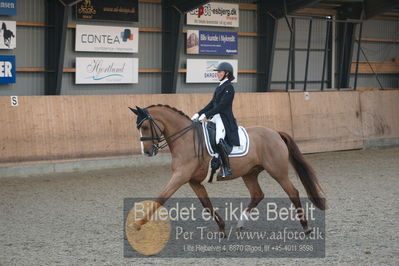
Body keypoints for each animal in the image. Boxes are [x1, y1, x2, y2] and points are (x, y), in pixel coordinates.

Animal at [130, 105, 326, 234]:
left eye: (145, 127)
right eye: (138, 128)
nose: (147, 152)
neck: (185, 138)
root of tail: (275, 133)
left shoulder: (180, 176)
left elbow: (161, 198)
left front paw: (139, 223)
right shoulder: (193, 181)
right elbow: (206, 204)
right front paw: (222, 228)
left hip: (278, 172)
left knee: (293, 192)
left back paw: (306, 227)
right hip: (250, 173)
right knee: (257, 195)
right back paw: (239, 225)